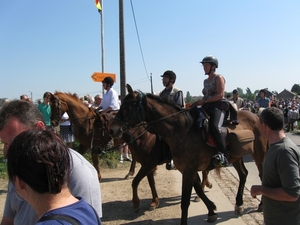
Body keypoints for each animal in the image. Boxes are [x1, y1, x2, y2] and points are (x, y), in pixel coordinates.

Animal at [109, 85, 268, 225]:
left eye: (127, 107)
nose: (113, 130)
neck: (182, 130)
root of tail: (256, 116)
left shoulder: (182, 169)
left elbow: (184, 201)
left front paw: (137, 203)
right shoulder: (185, 169)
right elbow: (197, 189)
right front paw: (211, 210)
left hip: (259, 154)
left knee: (262, 175)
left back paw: (260, 205)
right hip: (236, 157)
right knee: (243, 174)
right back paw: (239, 204)